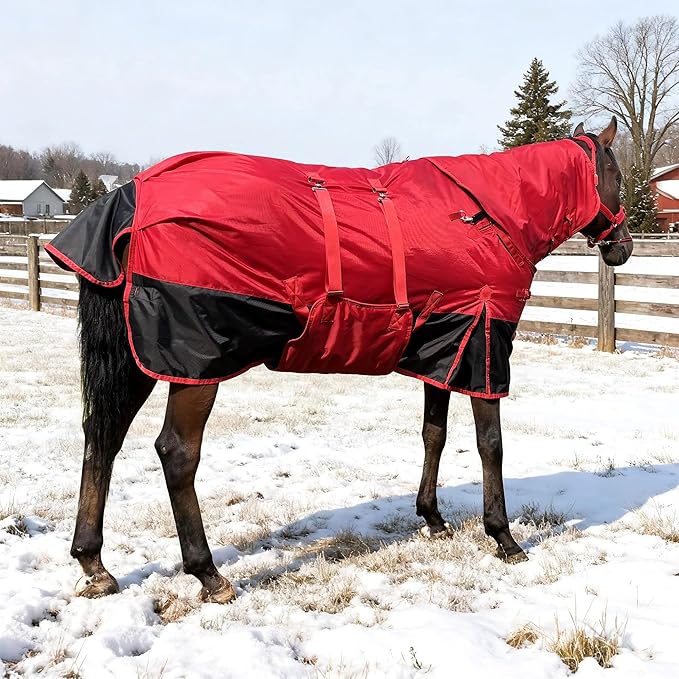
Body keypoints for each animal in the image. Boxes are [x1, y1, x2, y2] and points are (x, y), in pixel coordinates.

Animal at [46, 118, 632, 604]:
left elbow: (434, 433)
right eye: (617, 176)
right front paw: (505, 538)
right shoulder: (483, 344)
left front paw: (433, 518)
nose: (622, 247)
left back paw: (94, 565)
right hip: (196, 361)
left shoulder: (444, 344)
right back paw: (208, 574)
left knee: (102, 439)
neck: (484, 217)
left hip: (139, 359)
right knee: (176, 454)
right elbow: (492, 446)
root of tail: (131, 195)